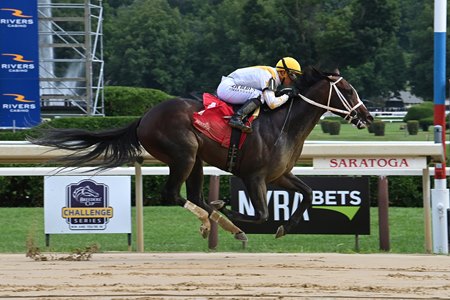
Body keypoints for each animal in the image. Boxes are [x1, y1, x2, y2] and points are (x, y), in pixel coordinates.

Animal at [30, 65, 372, 241]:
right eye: (349, 90)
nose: (367, 117)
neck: (283, 125)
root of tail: (145, 117)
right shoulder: (255, 177)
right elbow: (259, 214)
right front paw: (229, 212)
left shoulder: (280, 175)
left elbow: (309, 192)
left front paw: (286, 226)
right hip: (184, 154)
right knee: (174, 194)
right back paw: (216, 222)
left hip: (196, 160)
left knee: (194, 195)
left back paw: (215, 221)